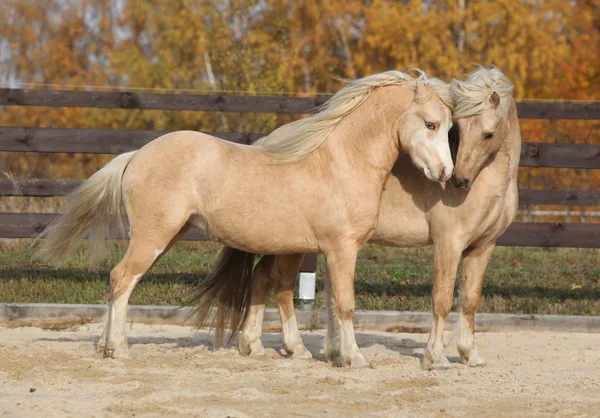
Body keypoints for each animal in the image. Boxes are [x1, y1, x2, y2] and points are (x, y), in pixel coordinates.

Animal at [37, 69, 452, 366]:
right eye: (430, 124)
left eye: (450, 127)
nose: (446, 173)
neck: (340, 161)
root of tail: (136, 155)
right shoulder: (342, 248)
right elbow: (345, 305)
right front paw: (354, 358)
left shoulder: (318, 250)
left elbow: (319, 301)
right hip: (153, 237)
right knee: (122, 278)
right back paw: (118, 349)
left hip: (168, 235)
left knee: (118, 281)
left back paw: (106, 346)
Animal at [236, 66, 520, 370]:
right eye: (459, 130)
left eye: (488, 134)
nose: (458, 180)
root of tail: (268, 142)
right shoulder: (449, 244)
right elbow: (442, 300)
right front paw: (437, 357)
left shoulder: (483, 247)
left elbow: (470, 299)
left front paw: (470, 354)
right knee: (274, 283)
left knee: (261, 278)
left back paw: (256, 345)